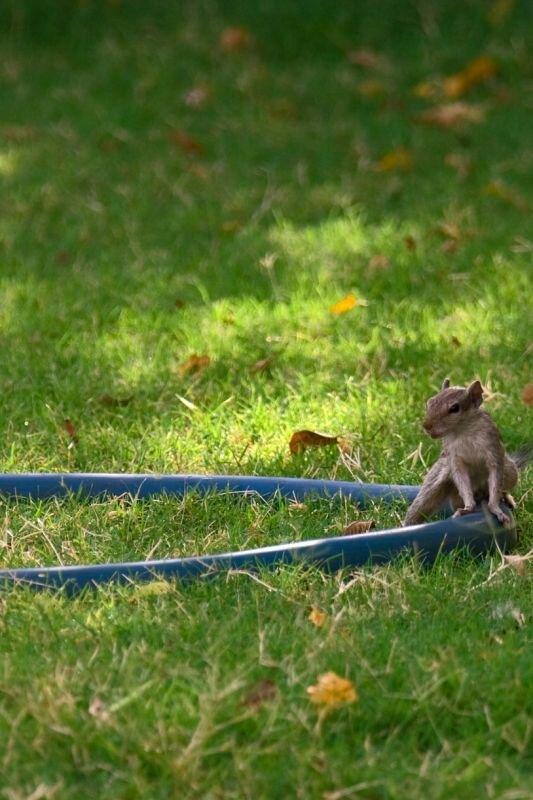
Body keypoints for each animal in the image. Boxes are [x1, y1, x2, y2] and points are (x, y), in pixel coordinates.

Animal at [404, 378, 524, 528]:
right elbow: (462, 481)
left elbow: (495, 481)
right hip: (436, 485)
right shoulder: (454, 459)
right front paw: (468, 508)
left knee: (500, 488)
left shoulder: (493, 451)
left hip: (510, 471)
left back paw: (505, 497)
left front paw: (496, 509)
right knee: (421, 504)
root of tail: (480, 494)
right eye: (429, 402)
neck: (463, 430)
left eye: (454, 408)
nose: (426, 425)